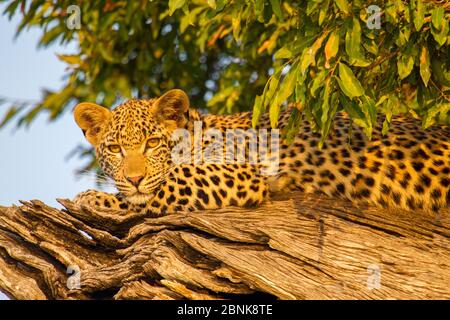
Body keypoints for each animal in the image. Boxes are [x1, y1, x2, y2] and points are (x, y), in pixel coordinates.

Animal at [74, 89, 450, 216]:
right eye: (115, 149)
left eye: (152, 143)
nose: (135, 178)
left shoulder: (235, 173)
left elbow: (167, 184)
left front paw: (93, 198)